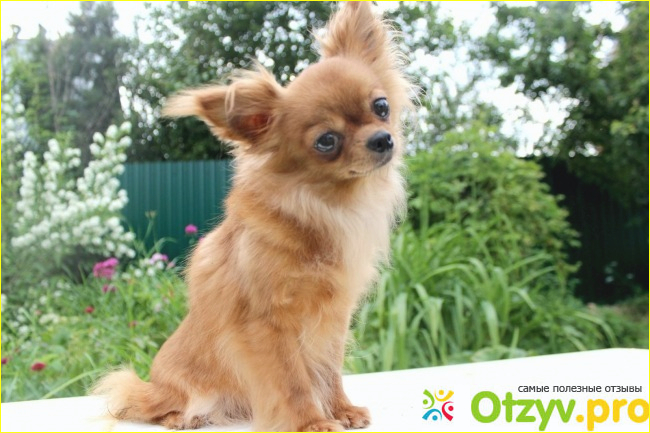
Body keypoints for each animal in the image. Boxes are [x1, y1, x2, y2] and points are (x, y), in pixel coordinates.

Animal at [94, 2, 412, 431]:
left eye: (381, 107)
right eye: (326, 141)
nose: (382, 139)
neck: (326, 206)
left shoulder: (333, 318)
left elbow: (329, 370)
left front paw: (341, 410)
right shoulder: (267, 325)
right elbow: (293, 381)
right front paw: (311, 422)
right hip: (173, 389)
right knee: (148, 404)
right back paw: (182, 416)